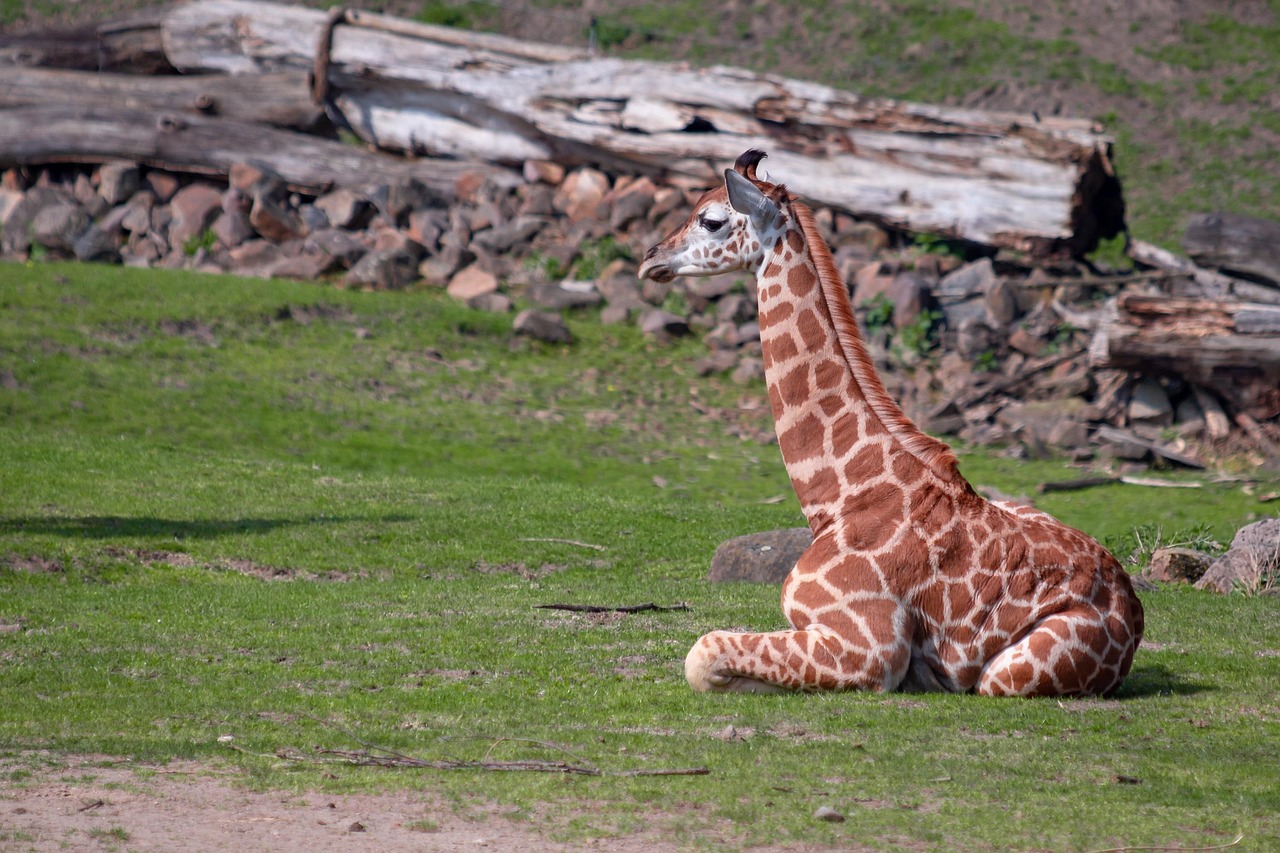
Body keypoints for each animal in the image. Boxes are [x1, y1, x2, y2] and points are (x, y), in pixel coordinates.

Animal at [638, 150, 1144, 697]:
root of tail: (1134, 612)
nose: (650, 258)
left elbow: (703, 653)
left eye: (710, 220)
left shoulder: (870, 648)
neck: (840, 497)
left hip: (1006, 674)